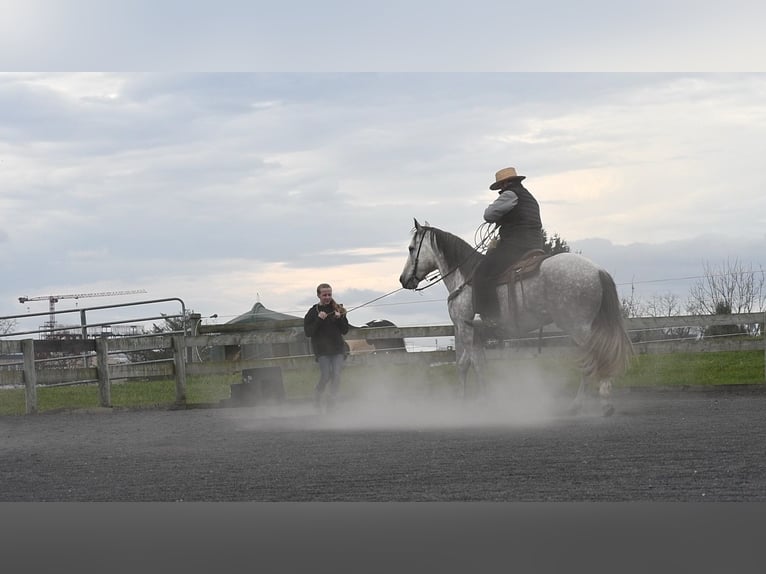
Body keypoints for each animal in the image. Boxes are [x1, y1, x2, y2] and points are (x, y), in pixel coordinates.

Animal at [400, 218, 632, 416]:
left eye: (411, 248)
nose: (403, 279)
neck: (463, 278)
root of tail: (597, 271)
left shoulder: (465, 329)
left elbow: (476, 364)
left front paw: (483, 402)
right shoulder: (474, 334)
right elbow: (465, 364)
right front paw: (462, 401)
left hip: (578, 328)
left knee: (592, 361)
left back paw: (587, 404)